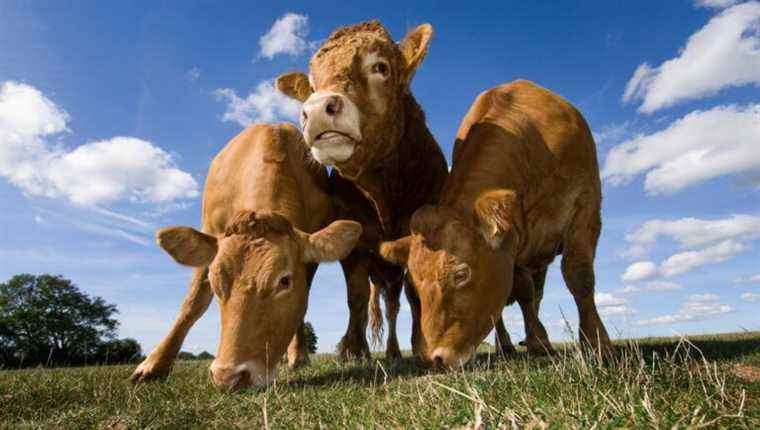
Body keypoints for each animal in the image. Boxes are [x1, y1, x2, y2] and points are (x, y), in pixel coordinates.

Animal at [130, 123, 362, 390]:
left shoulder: (310, 259)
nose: (227, 376)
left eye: (285, 281)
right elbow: (193, 303)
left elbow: (301, 305)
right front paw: (154, 365)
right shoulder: (210, 230)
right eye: (216, 282)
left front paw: (298, 356)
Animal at [276, 21, 460, 362]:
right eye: (312, 85)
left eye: (380, 67)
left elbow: (415, 293)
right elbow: (357, 297)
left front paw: (422, 346)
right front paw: (354, 349)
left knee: (393, 306)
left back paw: (395, 351)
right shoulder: (355, 245)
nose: (317, 109)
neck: (382, 193)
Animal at [378, 80, 612, 366]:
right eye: (414, 284)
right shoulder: (513, 245)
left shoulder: (585, 206)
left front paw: (596, 342)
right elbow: (523, 291)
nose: (435, 358)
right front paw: (538, 341)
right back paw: (507, 345)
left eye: (460, 274)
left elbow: (579, 276)